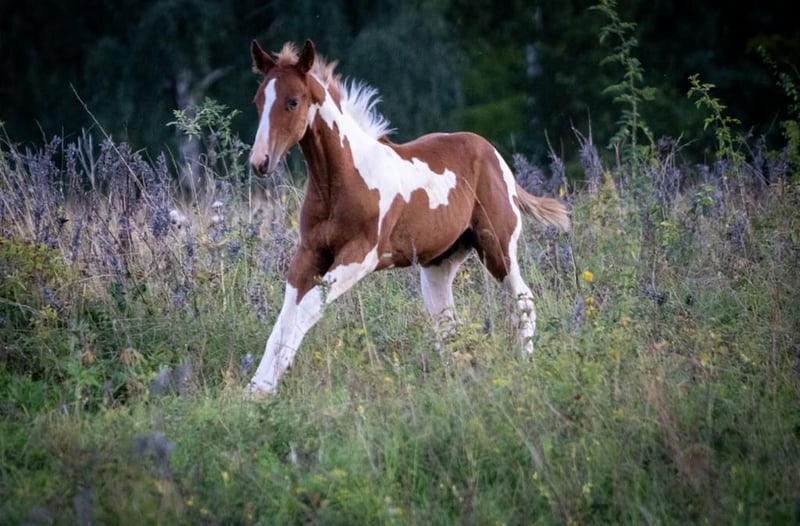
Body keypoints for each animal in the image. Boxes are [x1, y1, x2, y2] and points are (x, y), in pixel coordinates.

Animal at [245, 39, 569, 396]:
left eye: (292, 101)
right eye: (258, 100)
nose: (260, 162)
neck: (341, 179)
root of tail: (492, 153)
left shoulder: (360, 256)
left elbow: (307, 309)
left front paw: (271, 380)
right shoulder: (309, 253)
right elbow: (285, 318)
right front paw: (257, 390)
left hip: (498, 246)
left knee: (522, 300)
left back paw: (525, 365)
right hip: (439, 264)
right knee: (447, 322)